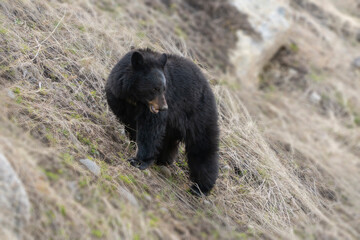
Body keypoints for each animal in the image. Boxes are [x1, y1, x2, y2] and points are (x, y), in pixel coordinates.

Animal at [105, 48, 219, 195]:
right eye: (154, 88)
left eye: (164, 88)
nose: (164, 107)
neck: (135, 98)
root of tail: (208, 86)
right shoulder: (119, 97)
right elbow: (130, 123)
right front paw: (134, 144)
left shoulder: (154, 110)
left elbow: (150, 130)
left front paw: (139, 161)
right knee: (169, 140)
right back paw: (163, 159)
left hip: (198, 114)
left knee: (202, 146)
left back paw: (200, 187)